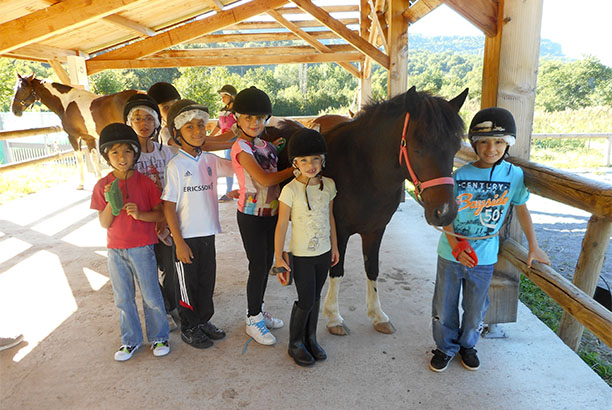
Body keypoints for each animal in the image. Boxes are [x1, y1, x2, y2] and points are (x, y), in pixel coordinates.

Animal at [266, 85, 466, 334]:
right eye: (418, 149)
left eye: (455, 148)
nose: (445, 212)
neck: (363, 169)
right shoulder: (339, 231)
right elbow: (337, 270)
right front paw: (334, 317)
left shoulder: (375, 230)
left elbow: (372, 270)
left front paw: (378, 316)